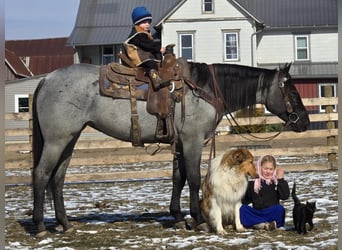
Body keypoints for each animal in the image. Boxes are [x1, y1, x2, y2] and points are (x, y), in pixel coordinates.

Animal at [32, 61, 310, 235]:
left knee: (57, 179)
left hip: (70, 139)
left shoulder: (180, 143)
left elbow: (179, 177)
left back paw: (65, 223)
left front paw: (177, 216)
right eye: (292, 92)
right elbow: (195, 179)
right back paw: (40, 226)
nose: (305, 122)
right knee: (42, 175)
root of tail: (47, 79)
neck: (203, 90)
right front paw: (198, 219)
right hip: (57, 140)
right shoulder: (192, 141)